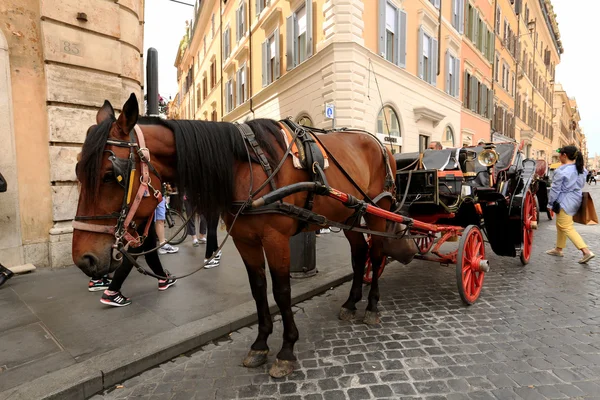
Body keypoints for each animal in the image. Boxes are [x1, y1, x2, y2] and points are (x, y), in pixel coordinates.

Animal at [71, 94, 418, 378]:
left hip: (378, 210)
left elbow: (282, 292)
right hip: (348, 216)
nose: (84, 259)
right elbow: (258, 289)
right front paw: (260, 344)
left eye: (111, 175)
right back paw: (351, 302)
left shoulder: (276, 239)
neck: (246, 167)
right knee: (360, 256)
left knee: (377, 254)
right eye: (76, 172)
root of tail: (382, 145)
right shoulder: (245, 239)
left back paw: (371, 307)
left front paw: (286, 350)